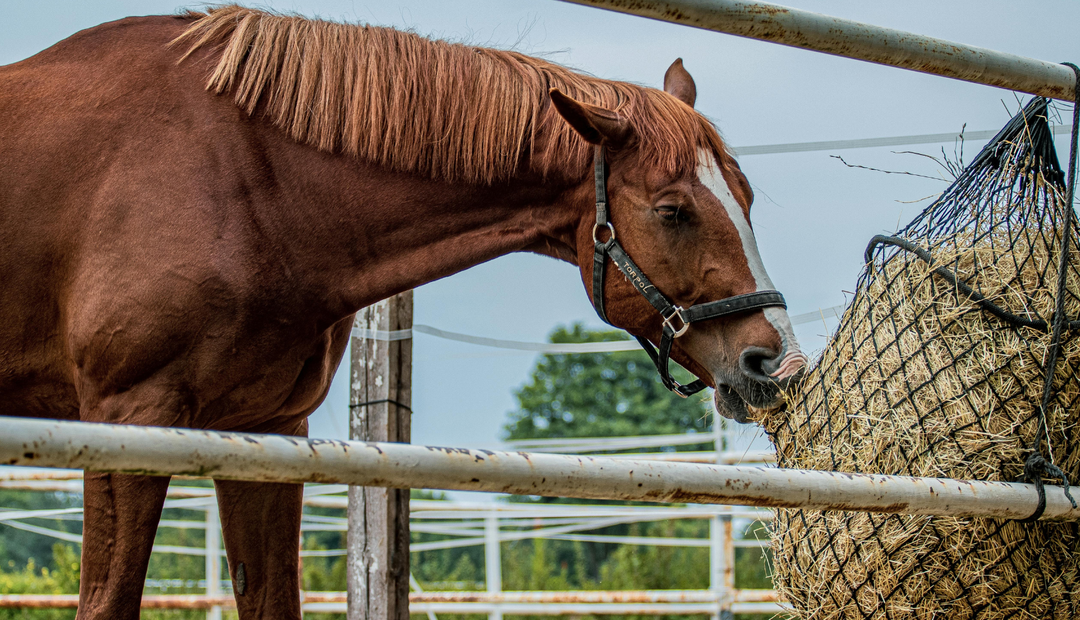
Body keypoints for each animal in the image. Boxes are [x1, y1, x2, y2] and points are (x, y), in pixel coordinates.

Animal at [0, 5, 806, 618]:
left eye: (747, 199)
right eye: (673, 211)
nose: (775, 361)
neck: (241, 179)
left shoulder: (265, 434)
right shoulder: (127, 420)